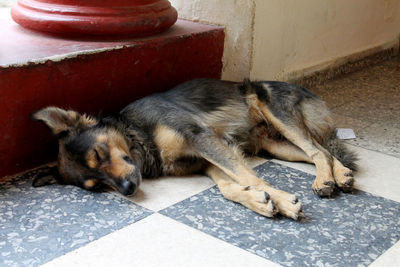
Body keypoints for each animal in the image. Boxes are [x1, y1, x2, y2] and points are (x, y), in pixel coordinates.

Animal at [30, 78, 356, 221]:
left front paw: (285, 201)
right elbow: (229, 187)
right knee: (323, 151)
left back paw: (326, 179)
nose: (127, 190)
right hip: (274, 146)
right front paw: (259, 201)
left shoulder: (201, 138)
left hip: (276, 112)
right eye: (96, 186)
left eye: (98, 154)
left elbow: (249, 177)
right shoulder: (204, 160)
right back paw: (337, 176)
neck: (137, 132)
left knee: (318, 149)